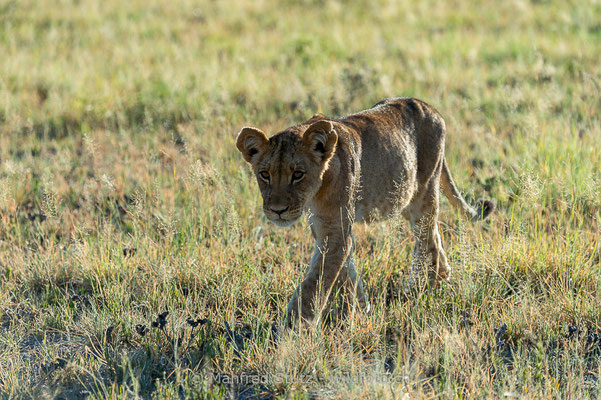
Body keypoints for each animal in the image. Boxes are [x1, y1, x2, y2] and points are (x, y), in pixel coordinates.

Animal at [234, 97, 492, 328]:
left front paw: (292, 327)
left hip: (425, 192)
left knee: (425, 240)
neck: (315, 193)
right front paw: (360, 308)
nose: (277, 211)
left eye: (298, 174)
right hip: (406, 198)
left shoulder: (334, 231)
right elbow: (344, 269)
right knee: (435, 236)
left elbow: (314, 282)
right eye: (264, 174)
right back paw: (443, 278)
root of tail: (430, 107)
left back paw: (421, 289)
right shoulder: (325, 228)